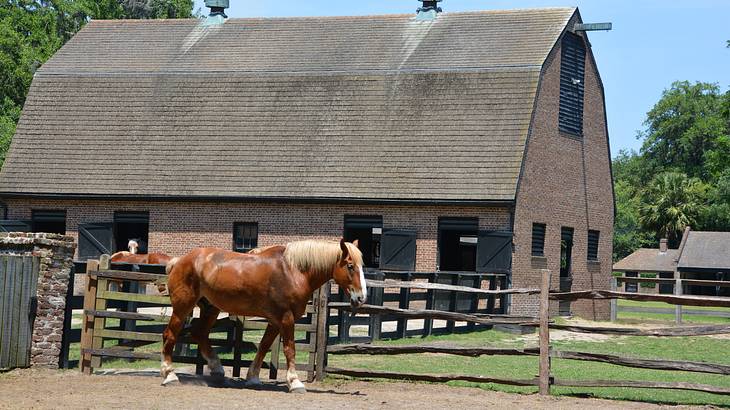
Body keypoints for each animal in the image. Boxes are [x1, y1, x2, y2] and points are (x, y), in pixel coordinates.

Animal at [159, 239, 364, 392]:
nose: (361, 298)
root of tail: (179, 261)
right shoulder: (286, 318)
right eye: (350, 266)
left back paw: (217, 368)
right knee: (170, 335)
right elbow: (290, 349)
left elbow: (264, 346)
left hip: (211, 308)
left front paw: (253, 378)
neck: (293, 271)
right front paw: (295, 382)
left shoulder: (275, 320)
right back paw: (170, 375)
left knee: (199, 333)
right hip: (182, 307)